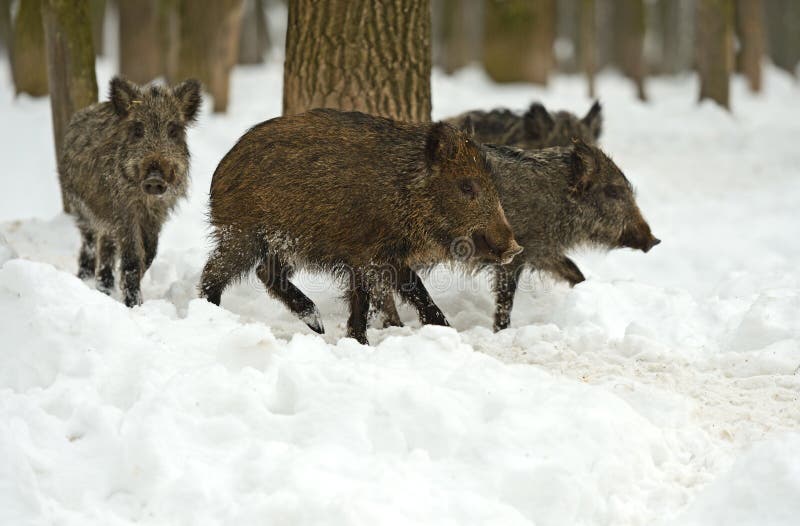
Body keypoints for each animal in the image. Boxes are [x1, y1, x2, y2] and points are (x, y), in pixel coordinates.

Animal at [60, 76, 202, 306]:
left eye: (173, 130)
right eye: (137, 130)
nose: (155, 178)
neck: (146, 199)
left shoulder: (157, 213)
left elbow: (150, 252)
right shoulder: (123, 209)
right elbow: (133, 256)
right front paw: (134, 304)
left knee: (106, 244)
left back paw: (104, 287)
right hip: (79, 205)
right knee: (89, 239)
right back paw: (85, 279)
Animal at [199, 108, 523, 345]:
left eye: (493, 185)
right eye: (466, 186)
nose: (514, 248)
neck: (405, 191)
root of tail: (223, 165)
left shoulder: (386, 257)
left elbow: (408, 292)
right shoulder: (368, 254)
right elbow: (375, 299)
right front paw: (361, 343)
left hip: (284, 243)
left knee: (265, 272)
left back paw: (317, 325)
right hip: (243, 232)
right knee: (216, 272)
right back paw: (209, 313)